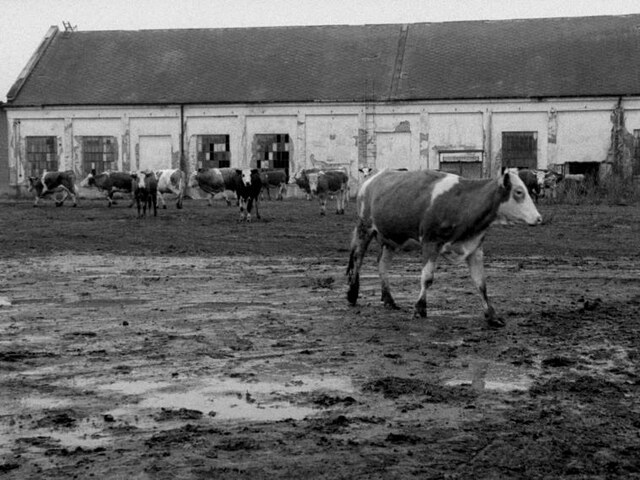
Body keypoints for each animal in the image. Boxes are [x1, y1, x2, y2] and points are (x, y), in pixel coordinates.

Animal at [348, 168, 544, 326]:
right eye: (518, 192)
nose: (539, 218)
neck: (462, 201)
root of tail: (372, 178)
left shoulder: (474, 248)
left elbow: (481, 283)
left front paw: (492, 316)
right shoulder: (430, 243)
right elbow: (427, 278)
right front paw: (420, 309)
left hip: (390, 238)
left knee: (382, 265)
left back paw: (389, 300)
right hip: (364, 227)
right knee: (357, 259)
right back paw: (352, 294)